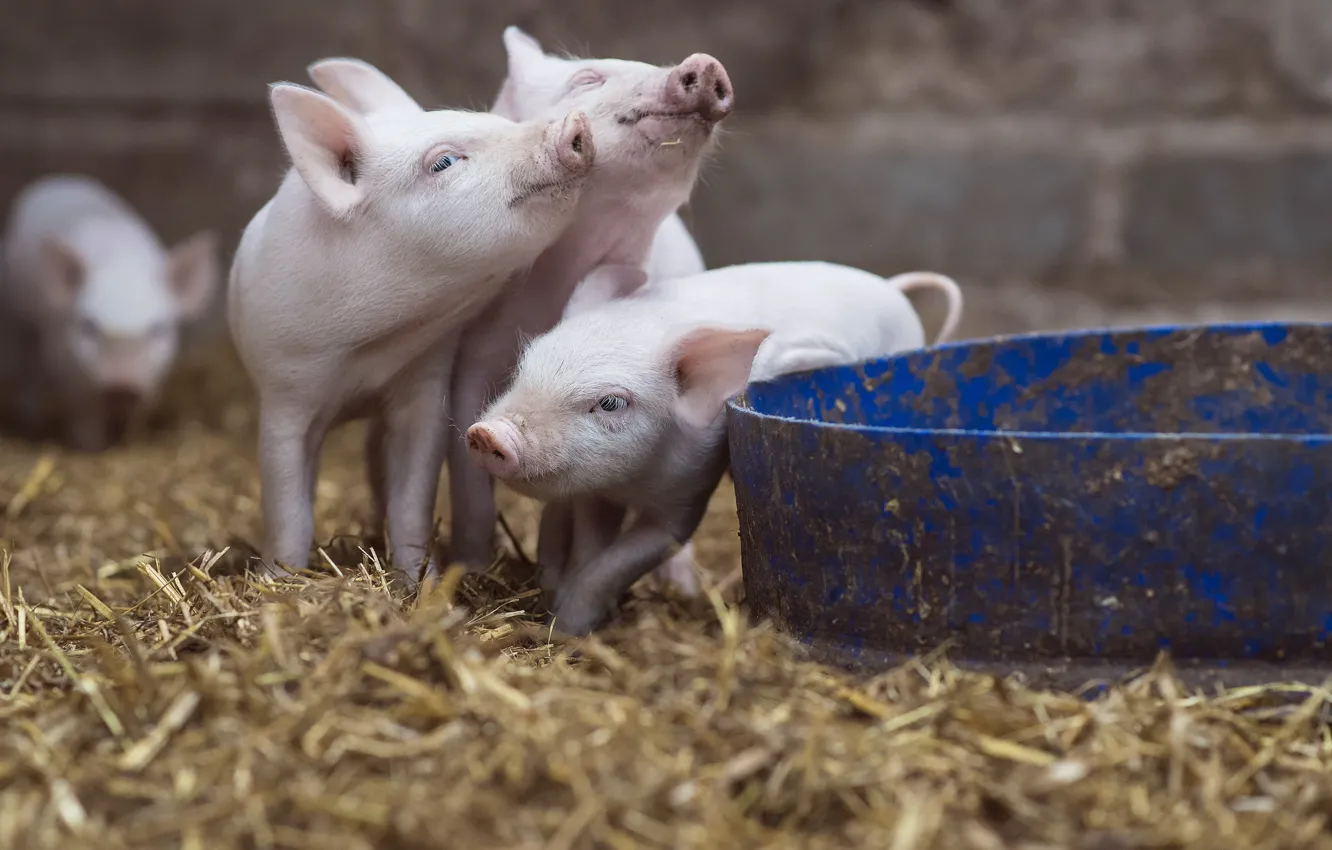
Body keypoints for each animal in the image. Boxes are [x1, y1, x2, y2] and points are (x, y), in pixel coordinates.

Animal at [0, 175, 219, 451]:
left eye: (159, 329)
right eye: (88, 326)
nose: (121, 385)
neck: (120, 264)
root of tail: (60, 179)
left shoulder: (153, 379)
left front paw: (126, 439)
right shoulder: (62, 360)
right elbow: (83, 409)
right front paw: (90, 446)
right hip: (16, 316)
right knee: (27, 369)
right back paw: (30, 420)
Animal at [226, 78, 595, 587]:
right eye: (443, 162)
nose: (576, 121)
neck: (366, 347)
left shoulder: (423, 380)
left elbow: (412, 501)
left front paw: (424, 583)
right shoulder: (284, 390)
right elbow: (288, 507)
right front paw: (278, 581)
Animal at [465, 261, 965, 634]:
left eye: (610, 403)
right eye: (526, 365)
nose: (487, 434)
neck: (636, 481)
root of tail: (891, 288)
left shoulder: (688, 496)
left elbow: (627, 558)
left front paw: (570, 625)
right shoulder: (596, 493)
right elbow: (592, 547)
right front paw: (564, 612)